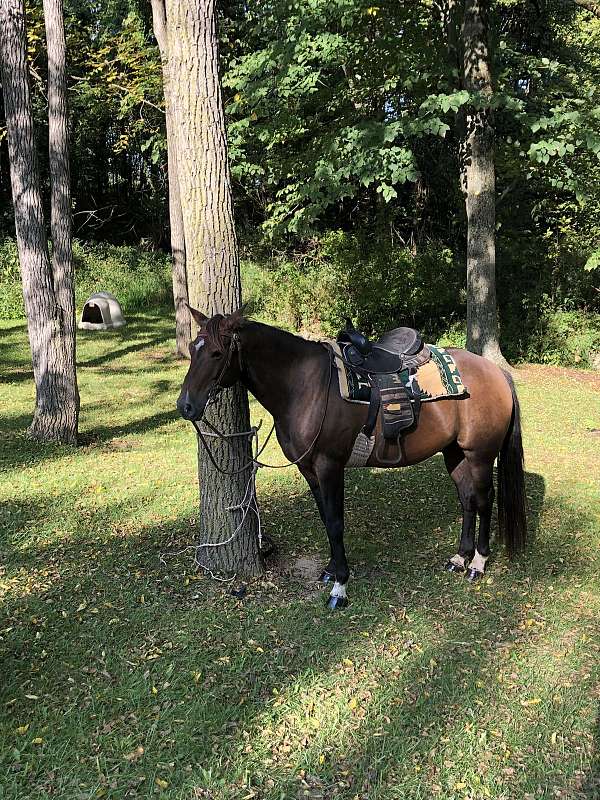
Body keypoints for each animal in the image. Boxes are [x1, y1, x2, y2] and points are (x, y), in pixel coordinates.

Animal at [177, 310, 524, 608]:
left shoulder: (329, 466)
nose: (186, 406)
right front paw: (331, 569)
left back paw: (478, 562)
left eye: (216, 354)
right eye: (193, 350)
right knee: (466, 498)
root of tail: (496, 372)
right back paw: (459, 557)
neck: (304, 385)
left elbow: (335, 522)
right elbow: (325, 518)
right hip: (454, 453)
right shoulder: (309, 470)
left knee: (484, 499)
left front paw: (340, 586)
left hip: (479, 455)